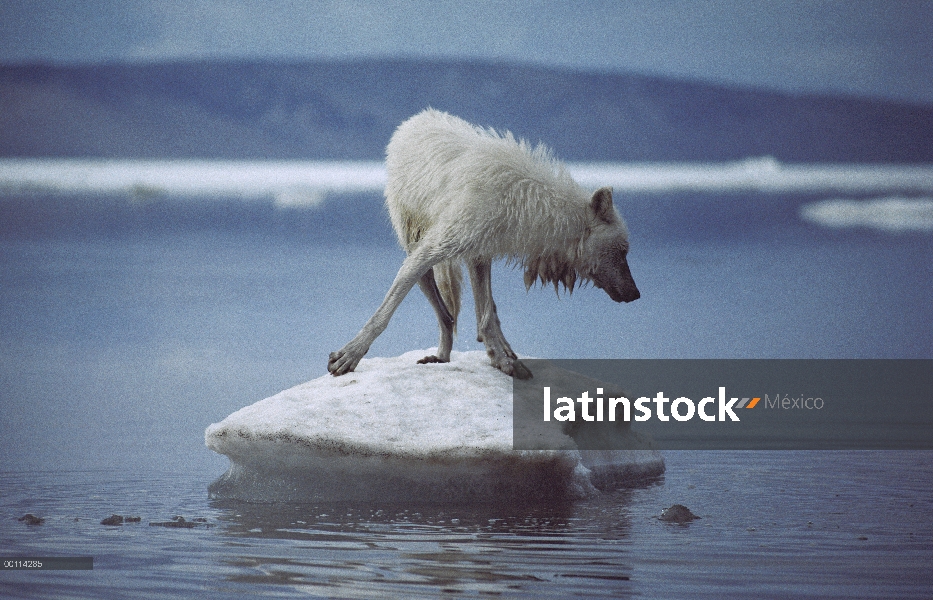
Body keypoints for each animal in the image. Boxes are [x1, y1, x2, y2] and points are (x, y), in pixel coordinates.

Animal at [324, 108, 636, 380]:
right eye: (622, 251)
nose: (636, 294)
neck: (525, 206)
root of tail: (416, 118)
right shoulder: (435, 249)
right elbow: (382, 315)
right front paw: (348, 355)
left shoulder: (481, 252)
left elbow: (486, 315)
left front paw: (503, 360)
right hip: (415, 245)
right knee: (445, 314)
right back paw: (443, 354)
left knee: (464, 313)